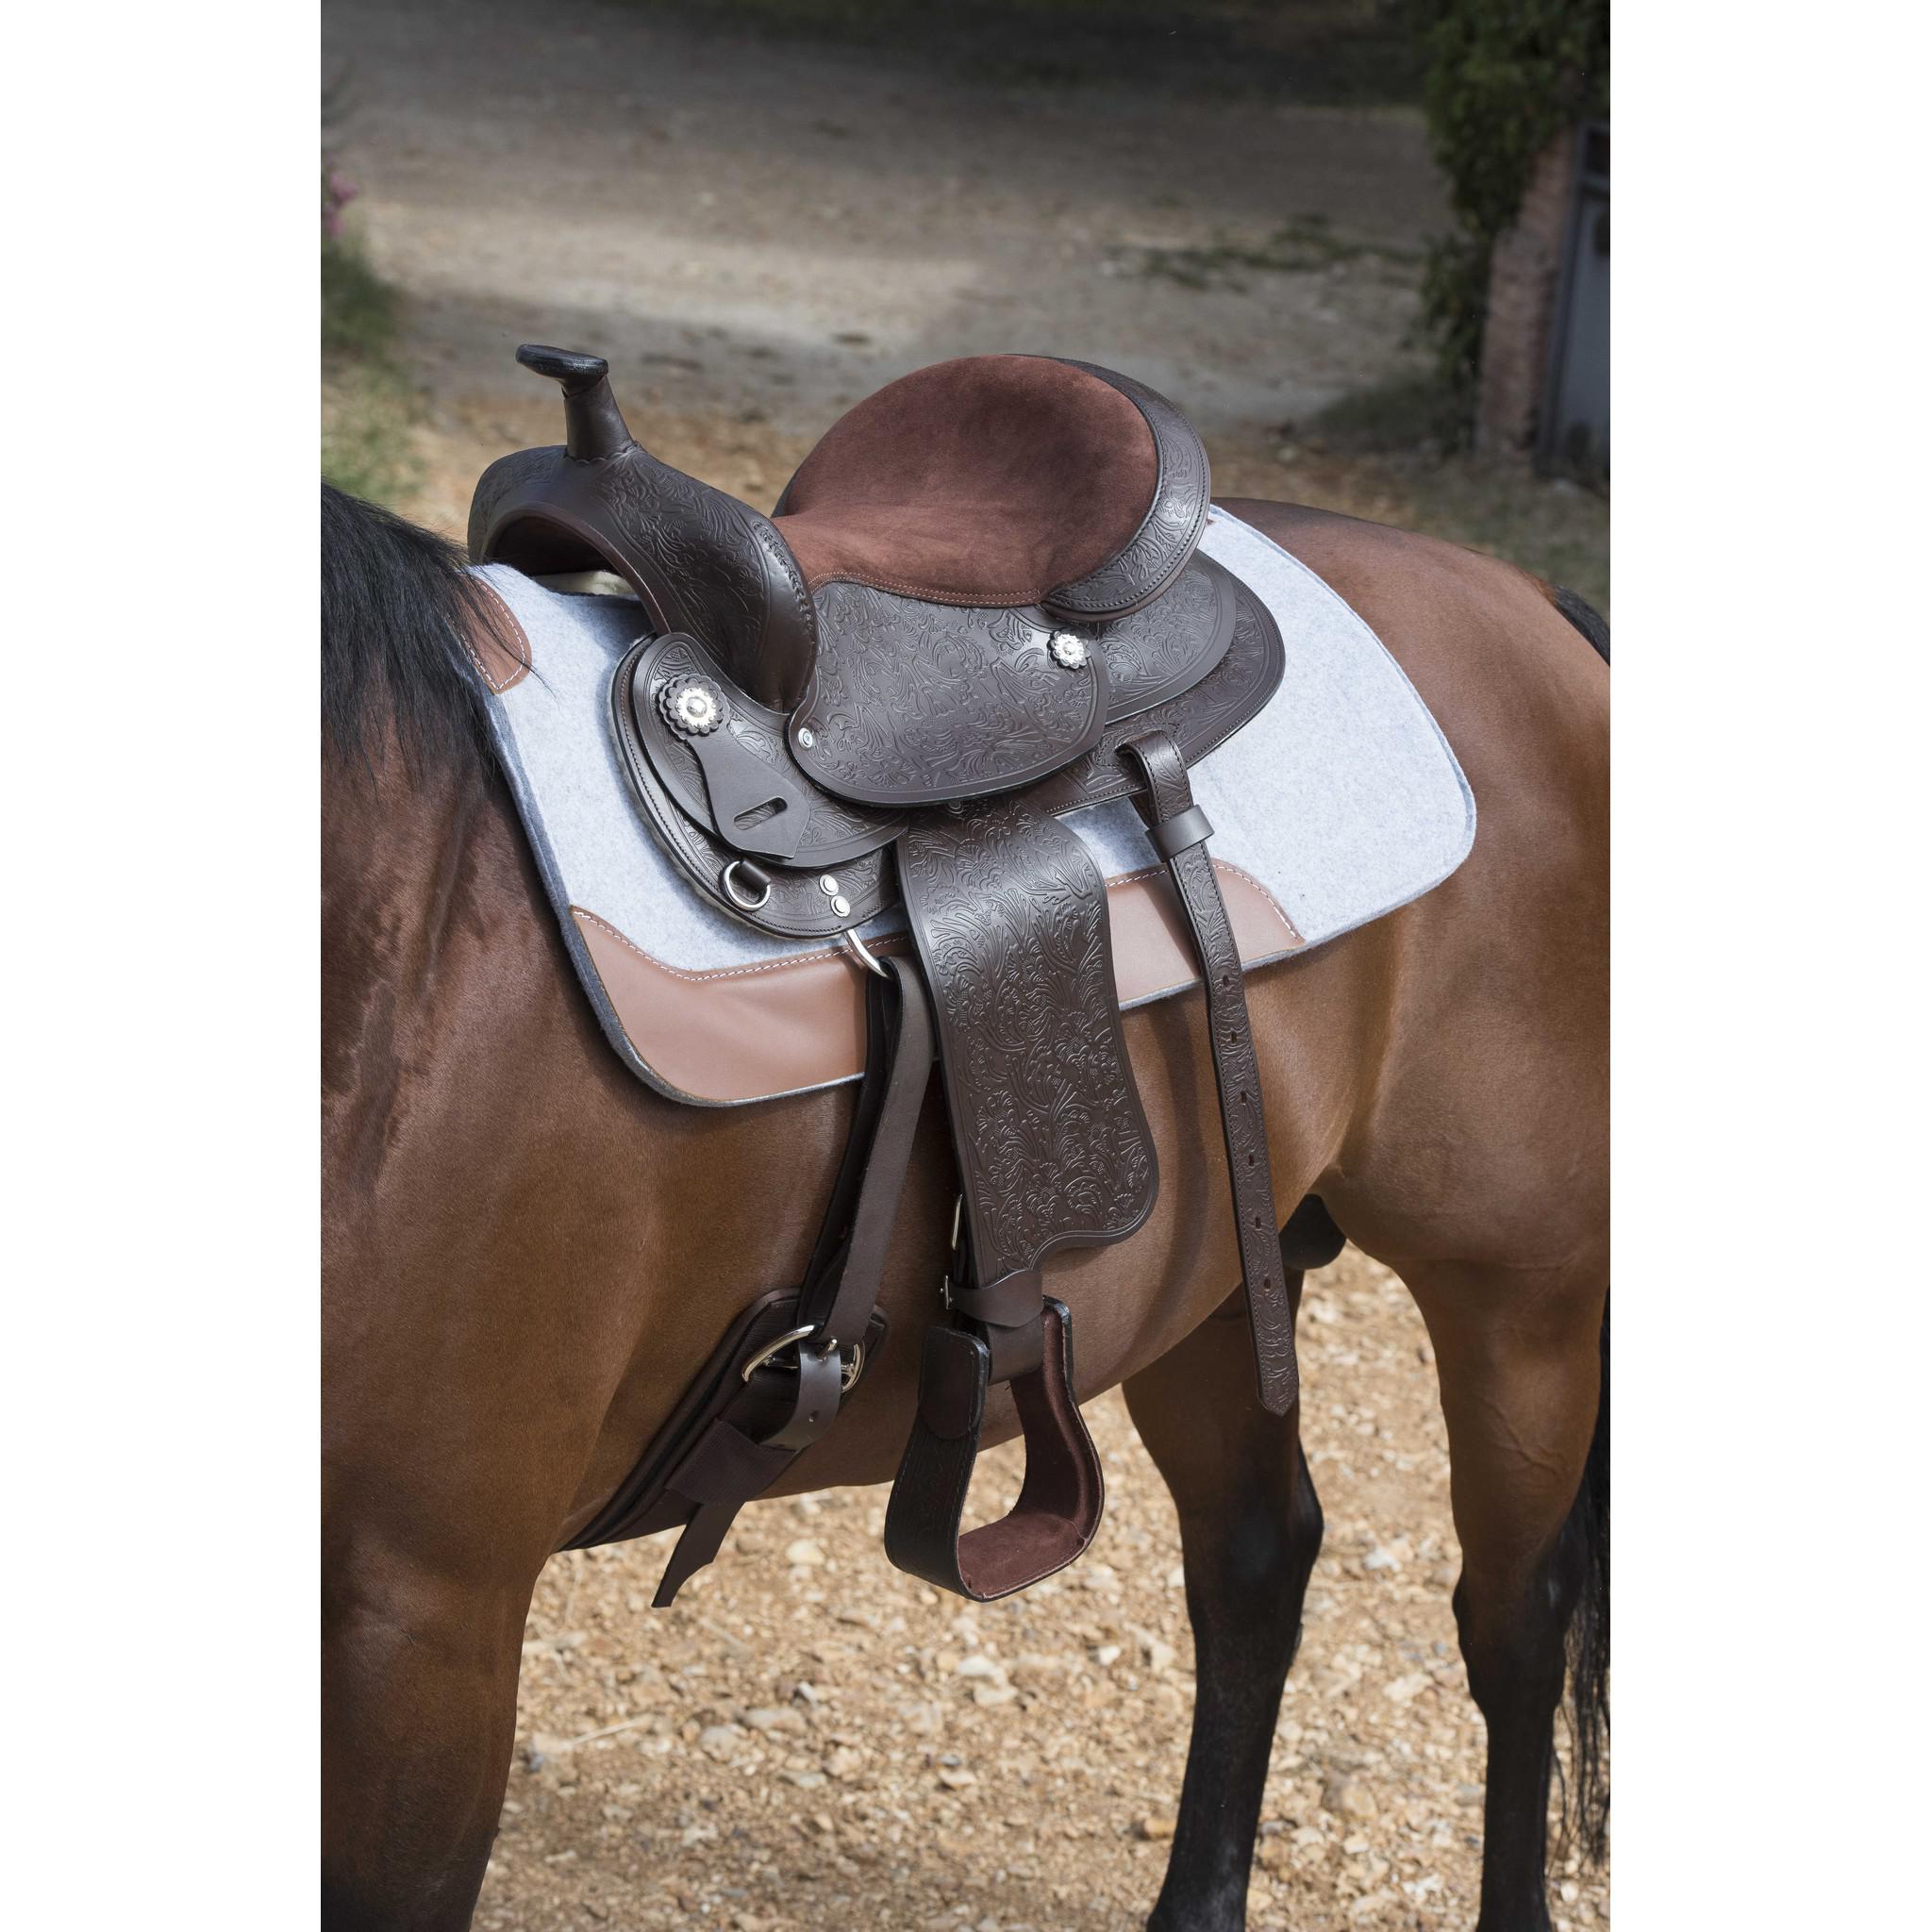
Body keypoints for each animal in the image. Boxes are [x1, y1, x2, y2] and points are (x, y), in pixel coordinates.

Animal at [322, 478, 1609, 1932]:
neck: (408, 955)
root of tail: (1513, 591)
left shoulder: (426, 1606)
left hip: (1519, 1293)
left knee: (1514, 1618)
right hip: (1220, 1275)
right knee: (1255, 1564)